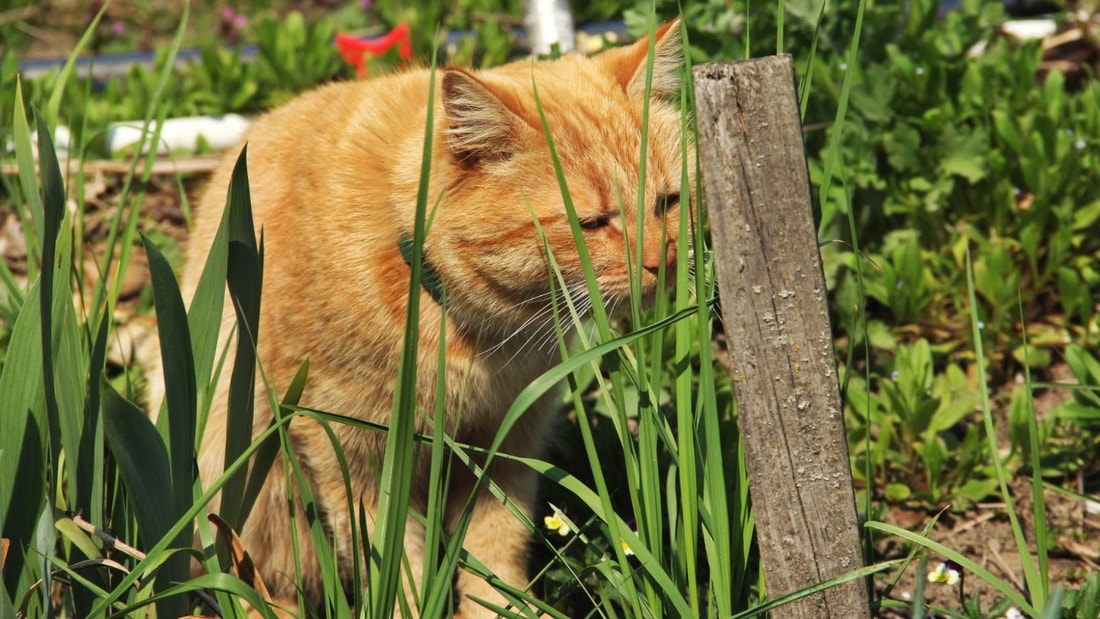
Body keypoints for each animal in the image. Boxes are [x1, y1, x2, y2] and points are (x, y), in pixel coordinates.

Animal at [165, 16, 686, 615]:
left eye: (668, 202)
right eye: (593, 224)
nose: (662, 261)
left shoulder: (507, 439)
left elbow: (496, 545)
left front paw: (500, 608)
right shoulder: (355, 455)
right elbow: (394, 565)